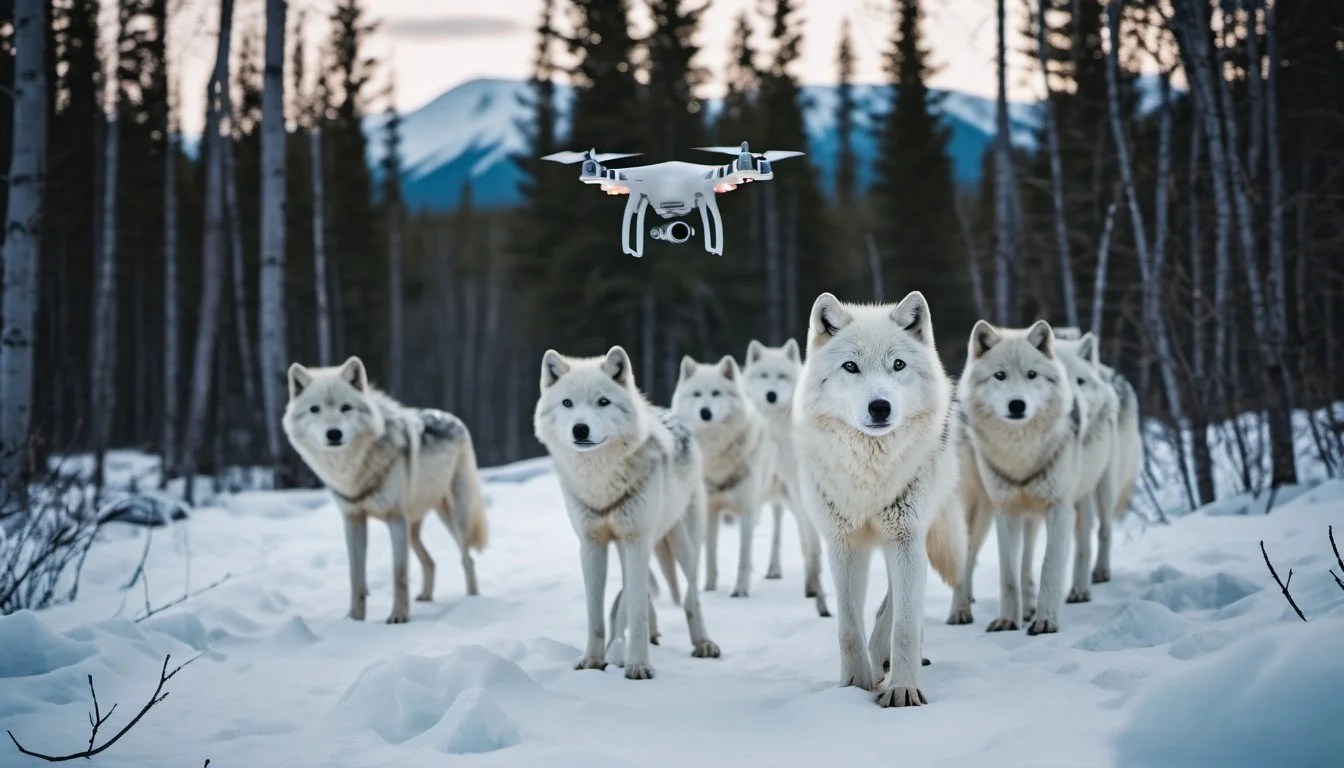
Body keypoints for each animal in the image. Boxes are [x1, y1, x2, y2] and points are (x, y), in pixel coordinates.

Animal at [282, 357, 488, 624]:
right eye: (314, 409)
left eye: (346, 407)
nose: (334, 433)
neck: (354, 468)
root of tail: (453, 418)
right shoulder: (353, 520)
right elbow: (356, 576)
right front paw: (354, 619)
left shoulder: (395, 519)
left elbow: (399, 574)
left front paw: (398, 617)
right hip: (414, 529)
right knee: (431, 562)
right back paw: (425, 596)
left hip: (455, 518)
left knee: (467, 558)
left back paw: (472, 602)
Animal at [533, 346, 720, 680]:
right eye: (567, 403)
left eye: (603, 402)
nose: (580, 428)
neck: (601, 479)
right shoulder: (592, 545)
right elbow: (596, 613)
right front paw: (592, 661)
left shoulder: (635, 540)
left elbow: (634, 609)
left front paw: (638, 665)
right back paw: (650, 636)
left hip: (682, 545)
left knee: (690, 597)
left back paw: (703, 644)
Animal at [672, 354, 776, 598]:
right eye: (697, 394)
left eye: (716, 393)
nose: (705, 412)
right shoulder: (710, 510)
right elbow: (710, 554)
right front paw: (709, 588)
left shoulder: (747, 510)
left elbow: (744, 555)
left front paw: (740, 590)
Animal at [792, 292, 967, 707]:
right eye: (851, 367)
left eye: (898, 365)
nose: (880, 406)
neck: (870, 475)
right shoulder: (842, 544)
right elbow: (848, 627)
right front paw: (853, 687)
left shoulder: (906, 538)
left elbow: (904, 622)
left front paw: (904, 690)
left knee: (900, 605)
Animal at [954, 320, 1087, 636]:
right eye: (999, 375)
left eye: (1032, 375)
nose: (1017, 404)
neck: (1021, 454)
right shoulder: (1006, 511)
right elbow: (1008, 574)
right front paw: (1007, 620)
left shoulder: (1059, 509)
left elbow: (1049, 565)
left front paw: (1045, 620)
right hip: (977, 512)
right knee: (967, 559)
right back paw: (960, 611)